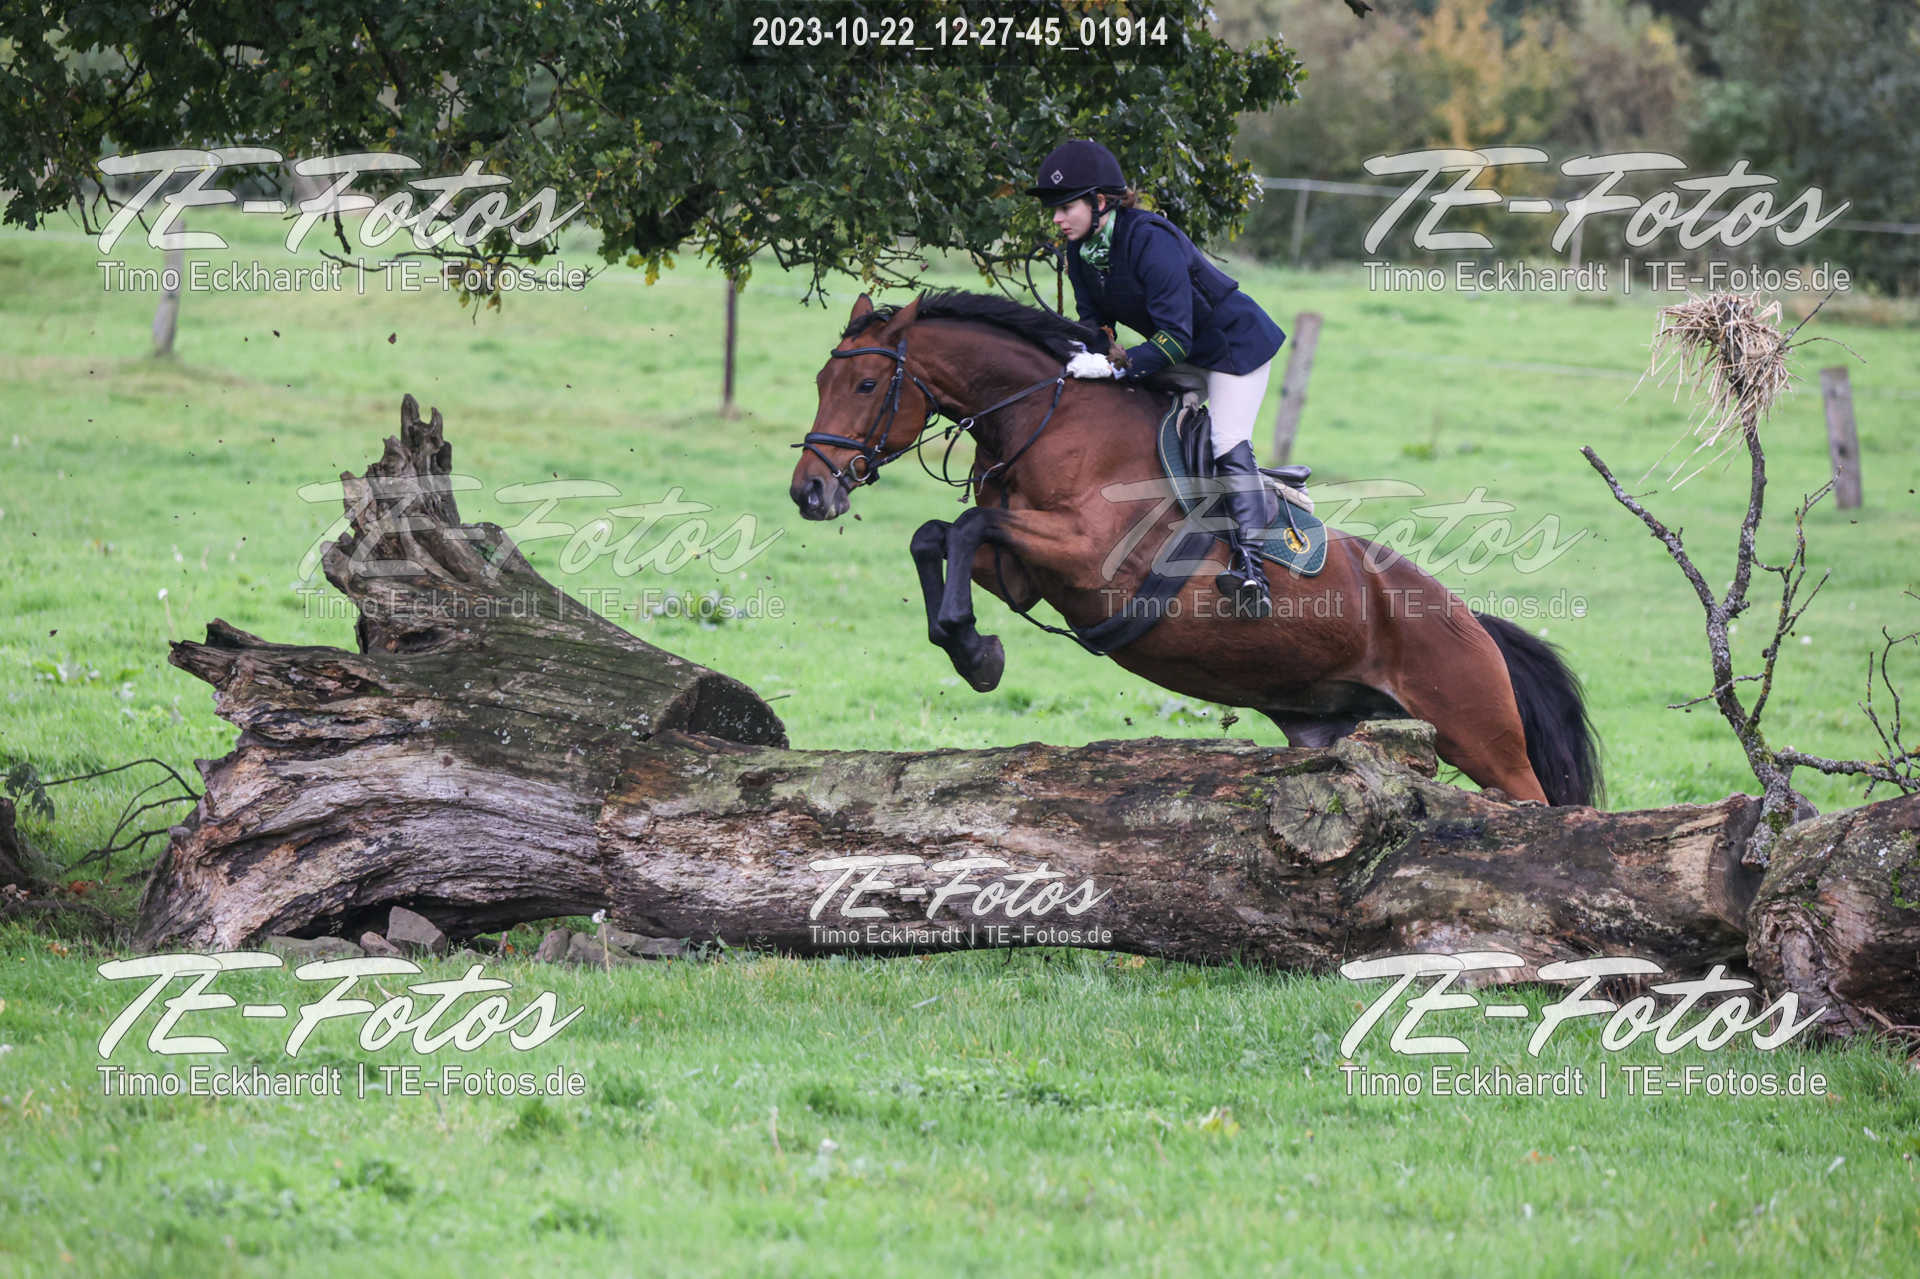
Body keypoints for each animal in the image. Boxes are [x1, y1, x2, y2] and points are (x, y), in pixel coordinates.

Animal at [788, 289, 1601, 807]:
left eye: (867, 384)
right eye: (821, 377)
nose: (810, 493)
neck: (1049, 422)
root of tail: (1471, 620)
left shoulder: (1088, 555)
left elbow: (962, 527)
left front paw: (972, 648)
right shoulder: (1024, 572)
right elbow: (936, 534)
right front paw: (971, 648)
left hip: (1481, 733)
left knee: (1536, 806)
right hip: (1334, 726)